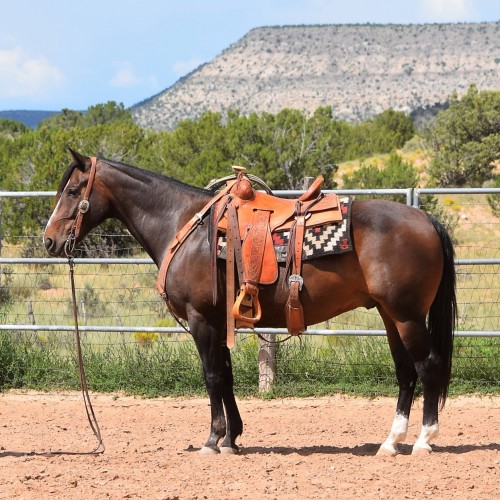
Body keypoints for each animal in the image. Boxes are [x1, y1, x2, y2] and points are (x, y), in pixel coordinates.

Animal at [44, 149, 458, 458]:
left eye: (73, 191)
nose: (49, 241)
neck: (183, 225)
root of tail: (426, 219)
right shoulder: (217, 320)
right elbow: (226, 375)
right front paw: (232, 438)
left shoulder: (200, 319)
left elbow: (212, 375)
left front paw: (213, 440)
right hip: (391, 316)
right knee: (405, 372)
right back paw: (391, 442)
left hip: (406, 316)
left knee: (427, 365)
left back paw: (424, 440)